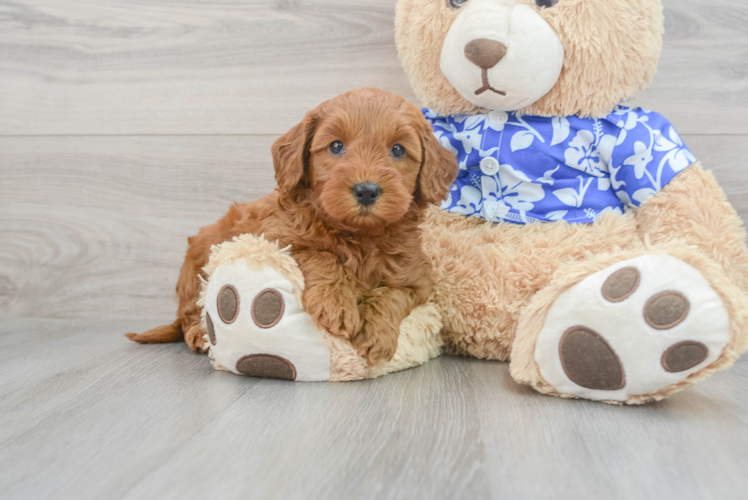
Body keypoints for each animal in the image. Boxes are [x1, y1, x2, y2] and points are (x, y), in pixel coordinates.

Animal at [128, 89, 456, 364]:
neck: (358, 235)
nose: (366, 190)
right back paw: (197, 333)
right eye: (336, 146)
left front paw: (377, 333)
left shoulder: (418, 280)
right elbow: (319, 255)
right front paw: (337, 304)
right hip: (195, 268)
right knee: (188, 313)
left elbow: (394, 295)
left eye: (398, 150)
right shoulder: (272, 238)